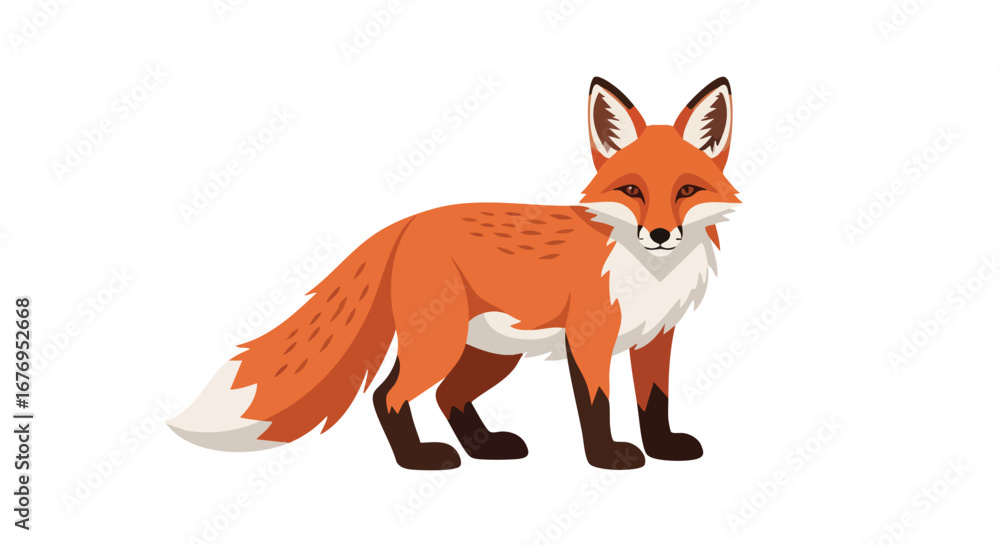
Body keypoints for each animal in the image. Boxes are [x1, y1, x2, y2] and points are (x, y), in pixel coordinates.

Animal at [169, 77, 741, 470]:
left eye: (687, 191)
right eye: (632, 191)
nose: (660, 234)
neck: (647, 273)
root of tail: (406, 222)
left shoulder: (656, 338)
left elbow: (654, 401)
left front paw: (663, 448)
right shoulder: (589, 338)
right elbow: (597, 406)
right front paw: (607, 458)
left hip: (490, 354)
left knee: (448, 396)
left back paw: (483, 449)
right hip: (439, 344)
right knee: (388, 396)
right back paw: (419, 459)